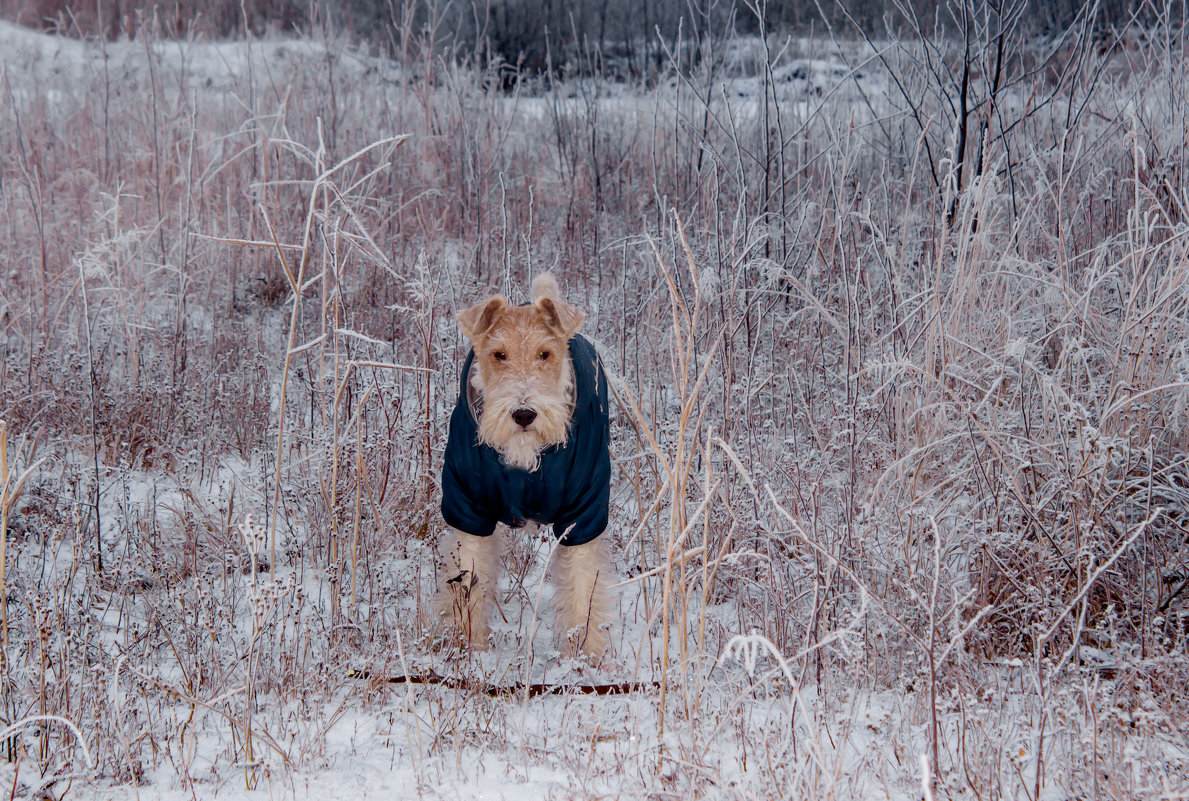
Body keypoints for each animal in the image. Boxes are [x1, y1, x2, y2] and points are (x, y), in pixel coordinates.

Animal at [442, 270, 618, 651]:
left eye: (544, 353)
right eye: (499, 354)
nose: (523, 414)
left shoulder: (583, 517)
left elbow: (582, 592)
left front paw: (586, 657)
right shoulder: (469, 512)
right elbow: (469, 583)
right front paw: (467, 648)